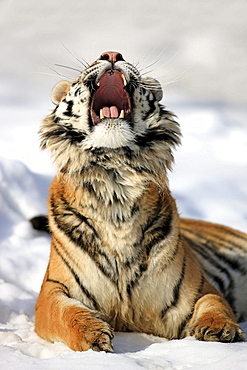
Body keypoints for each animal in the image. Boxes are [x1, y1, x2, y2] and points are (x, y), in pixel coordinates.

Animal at [33, 50, 246, 352]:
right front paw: (93, 335)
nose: (112, 54)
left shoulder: (198, 289)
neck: (115, 185)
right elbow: (65, 313)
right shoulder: (53, 290)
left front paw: (220, 329)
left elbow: (214, 304)